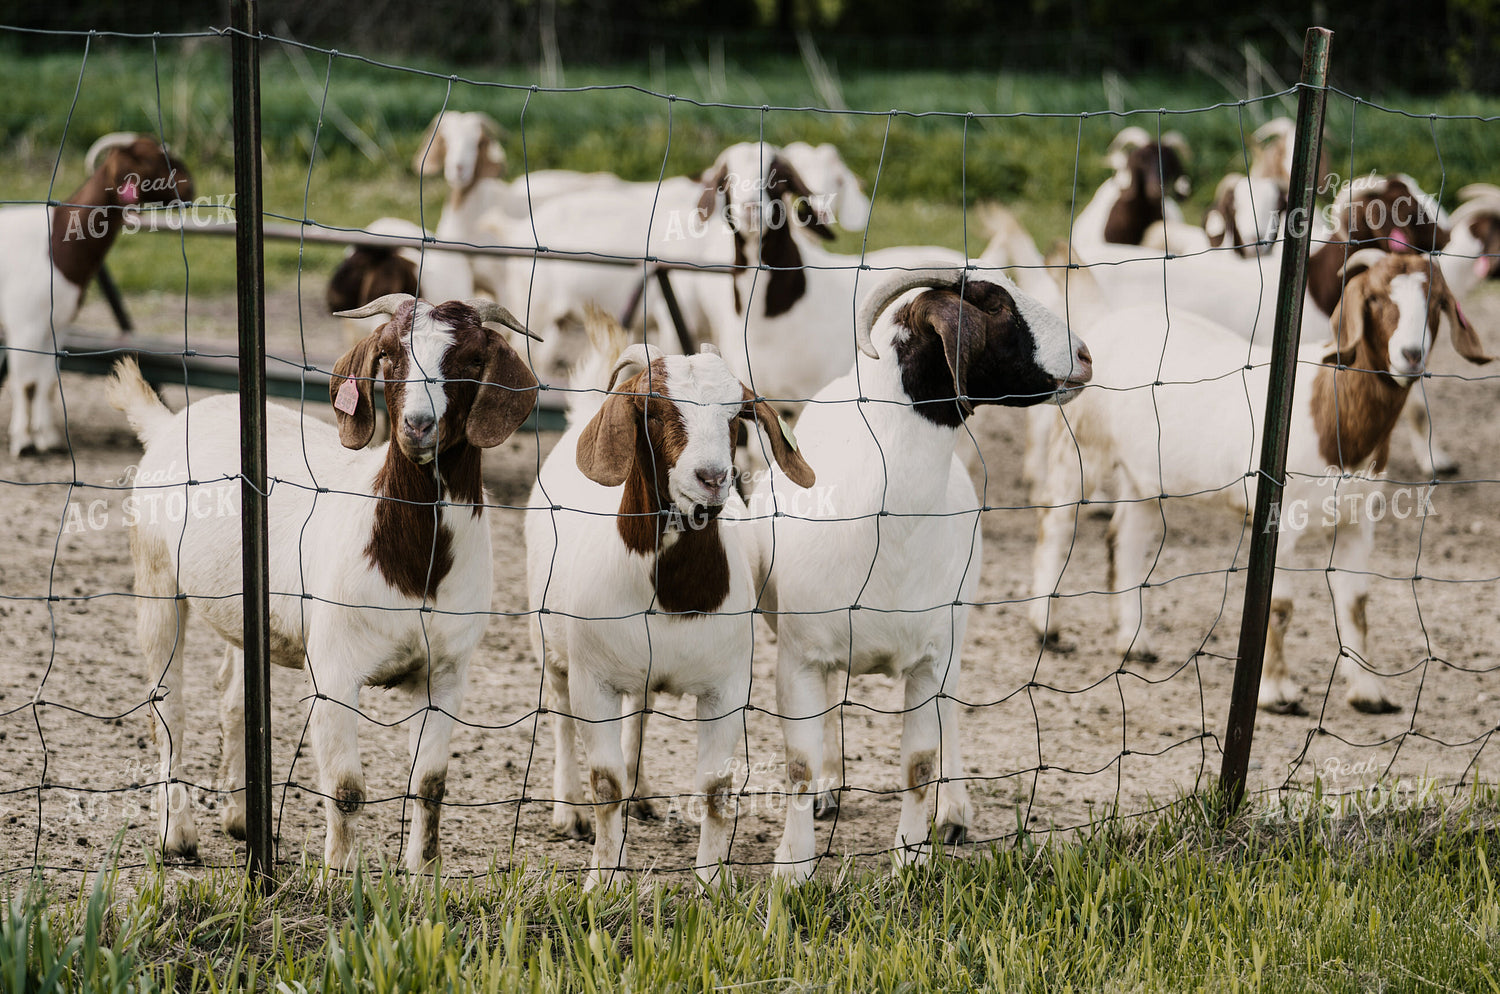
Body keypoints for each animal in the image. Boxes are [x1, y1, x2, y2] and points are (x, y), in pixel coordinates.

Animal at [2, 133, 193, 457]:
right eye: (149, 158)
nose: (190, 185)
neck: (58, 244)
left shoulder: (57, 323)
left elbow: (46, 382)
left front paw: (48, 438)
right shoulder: (24, 323)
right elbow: (25, 383)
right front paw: (23, 442)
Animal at [107, 294, 539, 870]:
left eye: (472, 360)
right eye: (388, 354)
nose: (418, 426)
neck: (413, 566)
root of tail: (168, 425)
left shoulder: (447, 673)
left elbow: (430, 784)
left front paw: (423, 873)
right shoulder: (334, 669)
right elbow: (346, 788)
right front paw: (340, 876)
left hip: (245, 610)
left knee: (235, 699)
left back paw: (241, 819)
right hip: (155, 579)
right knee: (167, 706)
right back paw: (177, 834)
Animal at [526, 312, 814, 888]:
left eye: (737, 414)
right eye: (653, 410)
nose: (712, 477)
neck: (672, 594)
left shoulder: (727, 687)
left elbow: (716, 790)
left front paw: (711, 883)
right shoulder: (594, 680)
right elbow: (605, 783)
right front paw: (603, 880)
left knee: (640, 713)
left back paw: (642, 793)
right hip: (550, 641)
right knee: (561, 714)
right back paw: (567, 810)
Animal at [754, 265, 1091, 882]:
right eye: (994, 304)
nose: (1084, 355)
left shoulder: (932, 658)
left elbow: (918, 764)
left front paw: (910, 861)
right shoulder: (799, 656)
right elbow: (799, 765)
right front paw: (793, 869)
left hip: (956, 631)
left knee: (951, 713)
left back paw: (954, 813)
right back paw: (833, 789)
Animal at [1030, 251, 1489, 714]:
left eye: (1437, 303)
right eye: (1375, 298)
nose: (1411, 354)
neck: (1330, 406)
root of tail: (1107, 319)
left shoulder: (1357, 521)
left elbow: (1355, 605)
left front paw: (1368, 693)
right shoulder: (1279, 521)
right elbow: (1279, 606)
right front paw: (1276, 693)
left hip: (1144, 475)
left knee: (1125, 540)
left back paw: (1134, 641)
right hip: (1082, 443)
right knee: (1057, 522)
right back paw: (1046, 628)